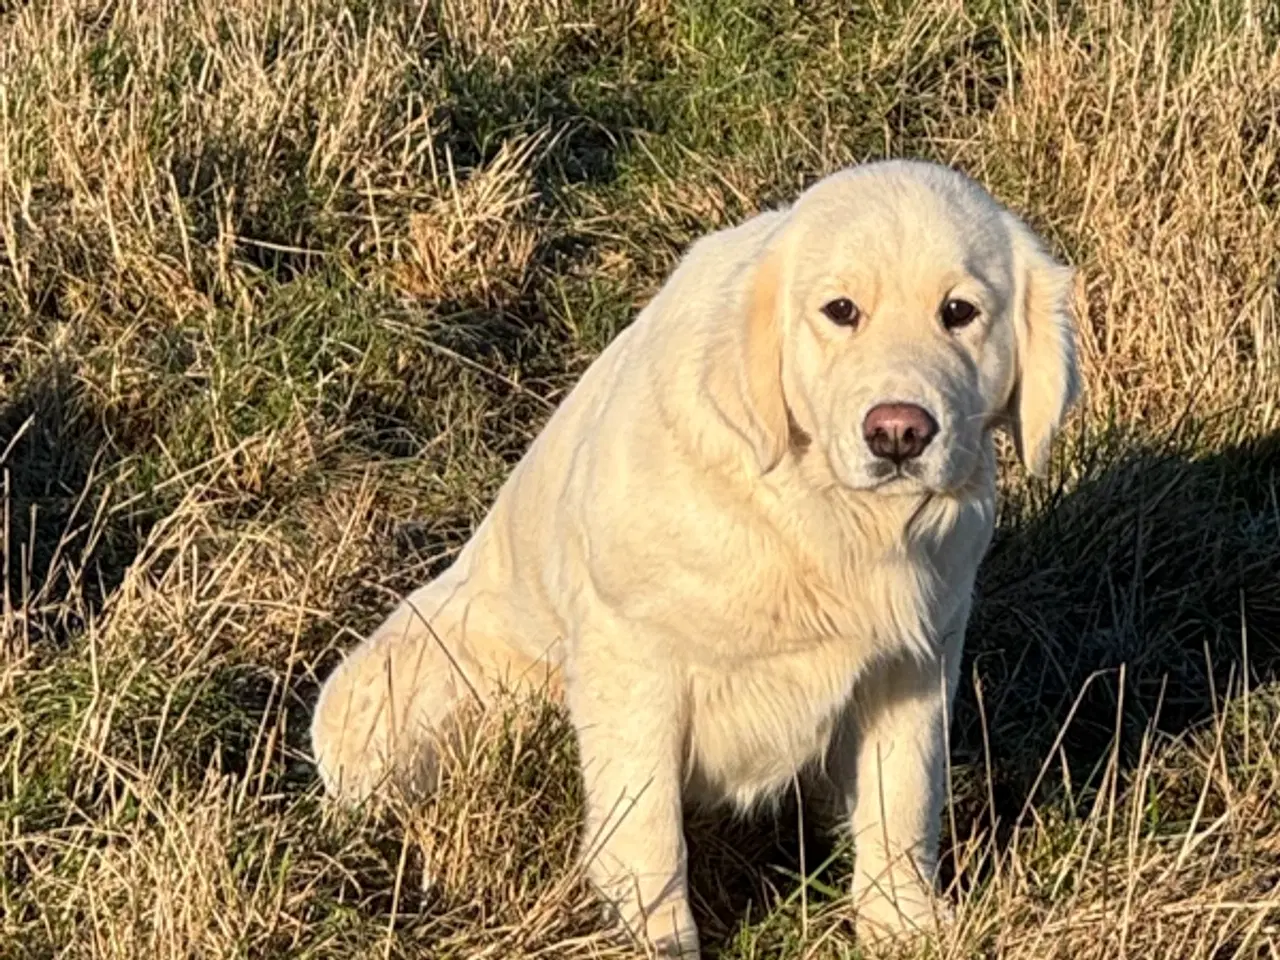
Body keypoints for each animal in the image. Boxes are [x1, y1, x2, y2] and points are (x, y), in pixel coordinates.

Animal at [309, 161, 1080, 957]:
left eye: (960, 311)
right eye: (840, 310)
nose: (898, 432)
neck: (818, 515)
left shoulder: (917, 658)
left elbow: (903, 795)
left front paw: (904, 924)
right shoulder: (633, 657)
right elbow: (647, 827)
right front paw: (657, 938)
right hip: (394, 696)